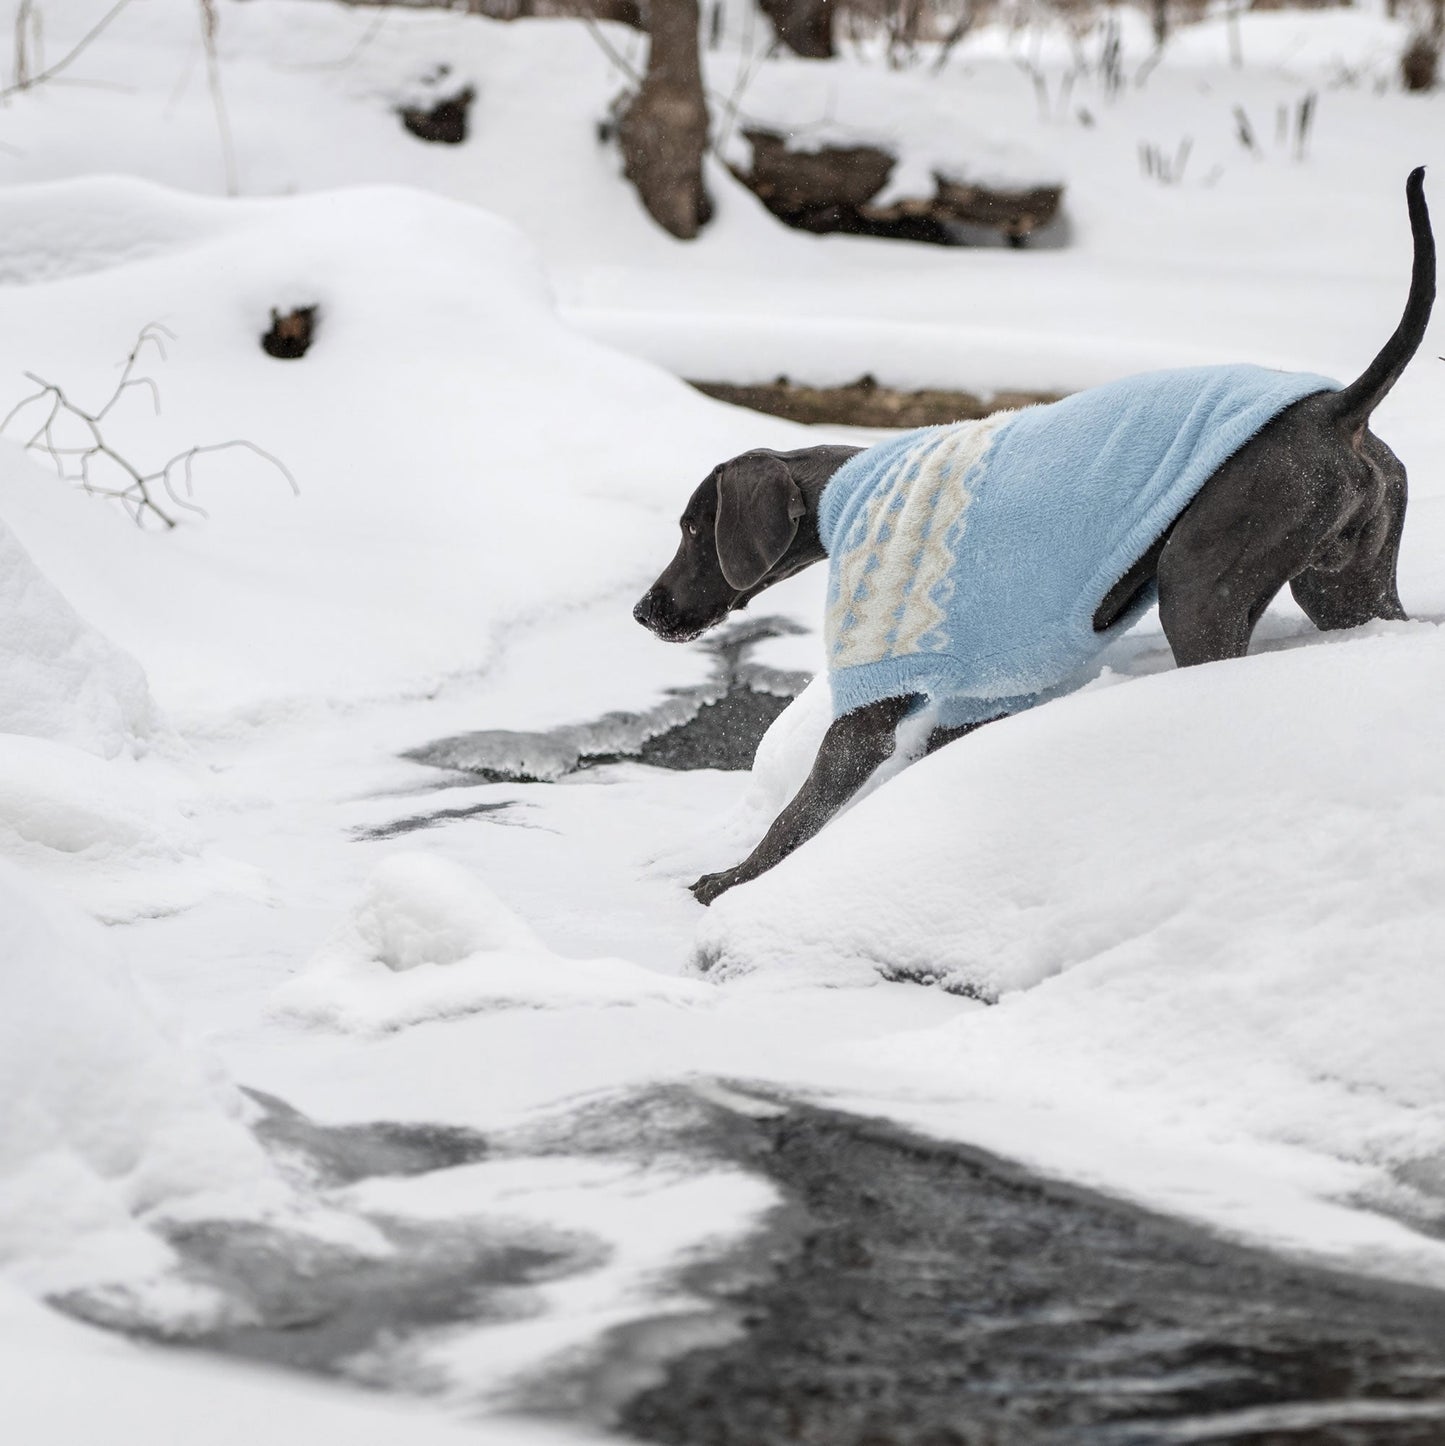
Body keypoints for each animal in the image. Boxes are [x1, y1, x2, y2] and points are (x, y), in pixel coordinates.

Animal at [633, 169, 1434, 902]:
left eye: (693, 529)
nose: (643, 611)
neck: (842, 497)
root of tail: (1335, 409)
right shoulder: (988, 689)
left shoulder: (874, 696)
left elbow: (796, 815)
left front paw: (733, 883)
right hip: (1346, 587)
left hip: (1200, 586)